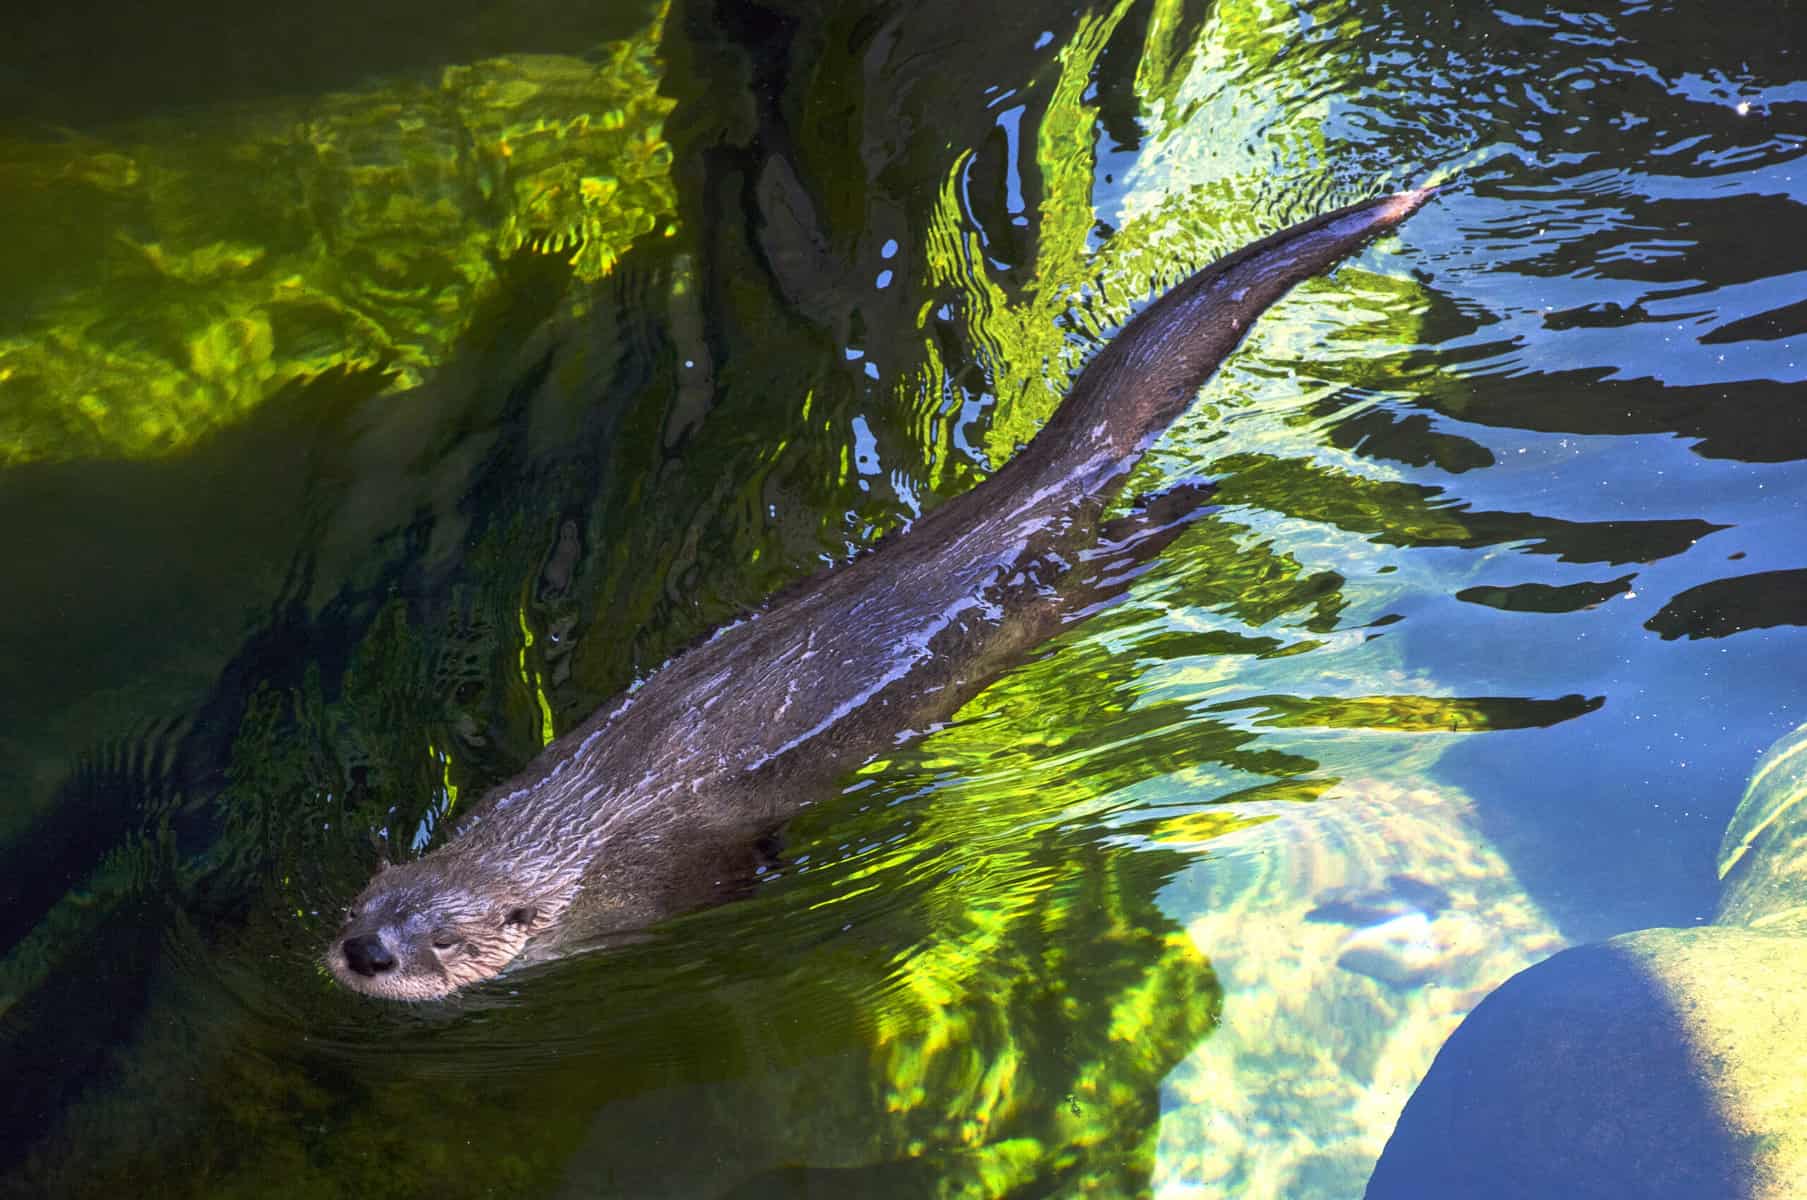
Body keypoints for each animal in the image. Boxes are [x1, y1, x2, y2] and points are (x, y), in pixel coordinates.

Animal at [329, 187, 1437, 1001]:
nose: (366, 956)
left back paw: (1186, 507)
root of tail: (1016, 496)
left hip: (1053, 594)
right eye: (367, 908)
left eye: (446, 937)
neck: (562, 838)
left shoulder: (666, 876)